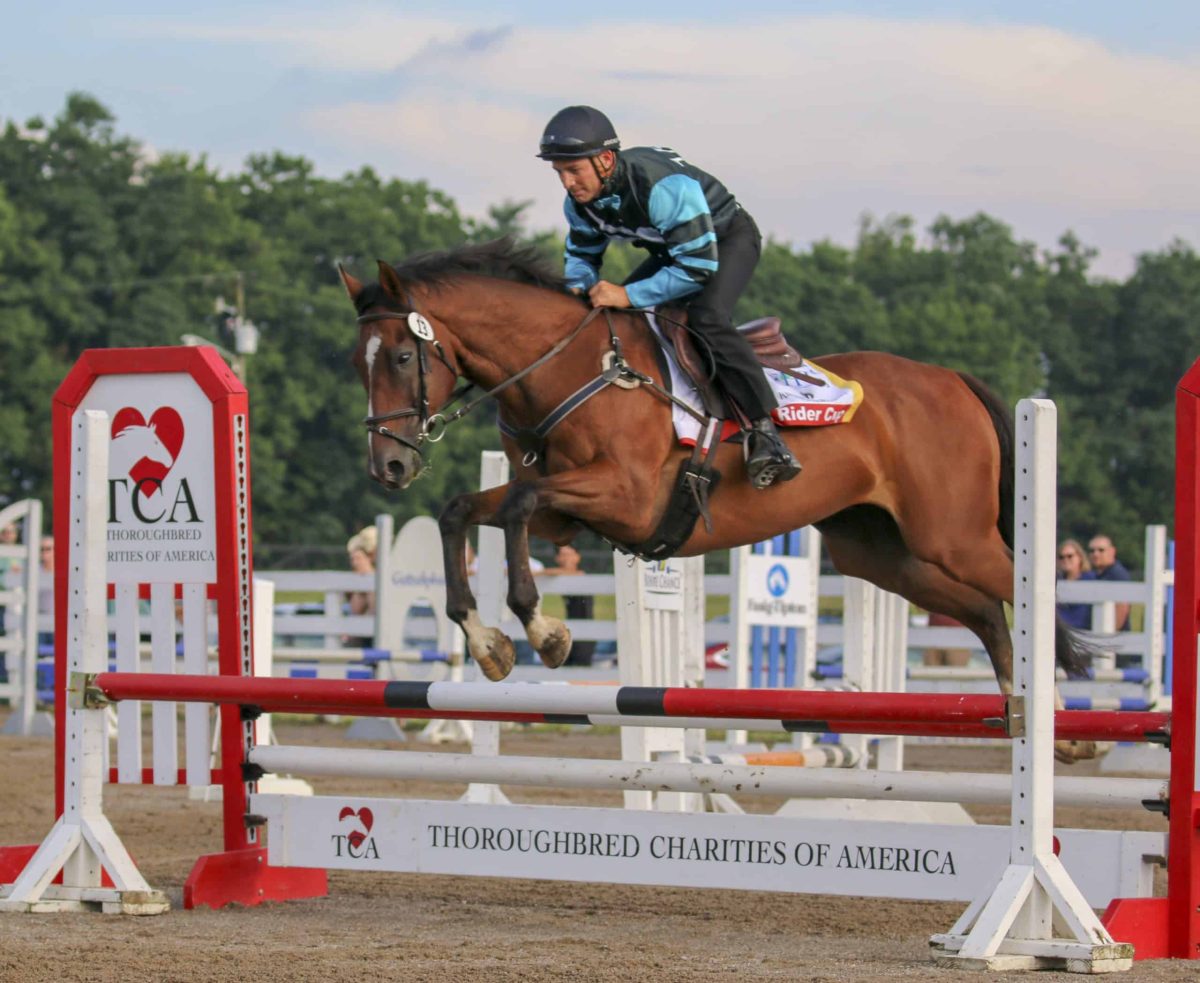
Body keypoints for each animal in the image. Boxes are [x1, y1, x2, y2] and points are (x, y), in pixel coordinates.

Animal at [340, 238, 1099, 763]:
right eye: (358, 365)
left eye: (403, 357)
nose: (390, 464)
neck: (568, 367)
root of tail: (952, 380)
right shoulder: (571, 514)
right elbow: (463, 511)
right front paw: (489, 642)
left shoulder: (625, 496)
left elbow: (519, 504)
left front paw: (543, 630)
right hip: (881, 554)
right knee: (986, 612)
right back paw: (1042, 725)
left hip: (952, 536)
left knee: (1026, 593)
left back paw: (1059, 723)